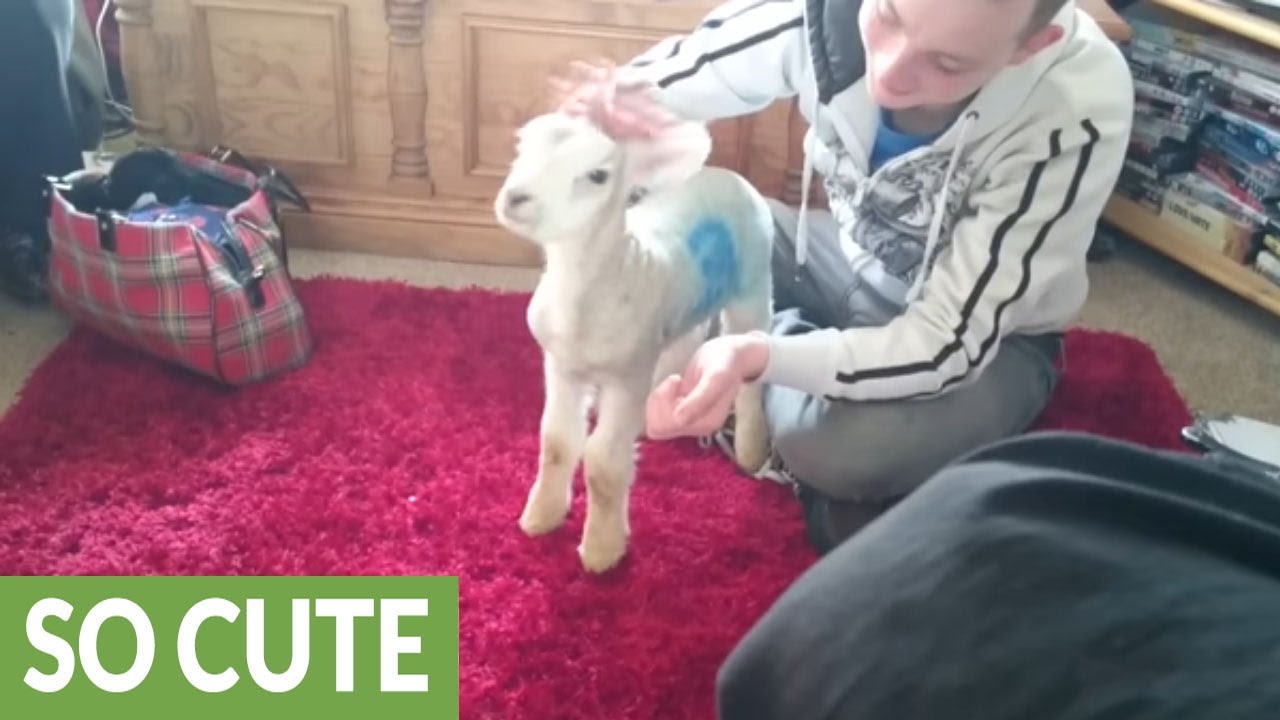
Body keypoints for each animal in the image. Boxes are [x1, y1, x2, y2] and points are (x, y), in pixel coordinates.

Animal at [492, 110, 776, 573]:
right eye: (522, 146)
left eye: (597, 175)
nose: (517, 198)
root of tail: (729, 176)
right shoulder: (561, 366)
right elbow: (556, 442)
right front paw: (541, 516)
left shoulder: (627, 375)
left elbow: (603, 463)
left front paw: (601, 550)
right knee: (686, 337)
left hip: (753, 286)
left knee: (752, 367)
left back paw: (751, 448)